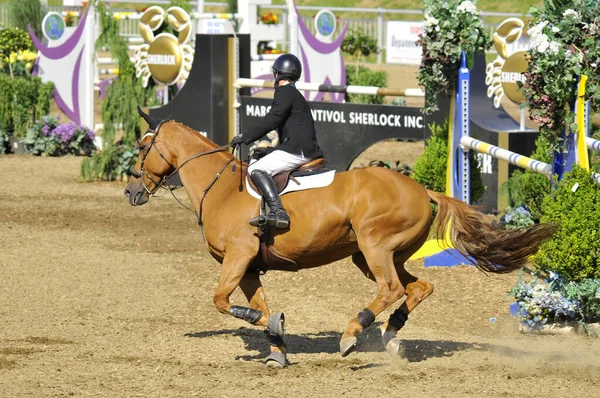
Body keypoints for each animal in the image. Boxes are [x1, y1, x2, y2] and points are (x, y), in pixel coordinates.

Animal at [124, 108, 556, 366]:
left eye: (143, 146)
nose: (130, 192)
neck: (222, 188)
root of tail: (421, 189)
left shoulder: (238, 256)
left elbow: (220, 301)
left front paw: (273, 329)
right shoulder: (248, 267)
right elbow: (257, 306)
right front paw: (276, 343)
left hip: (374, 246)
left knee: (390, 288)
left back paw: (352, 335)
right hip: (374, 254)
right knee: (417, 288)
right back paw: (390, 335)